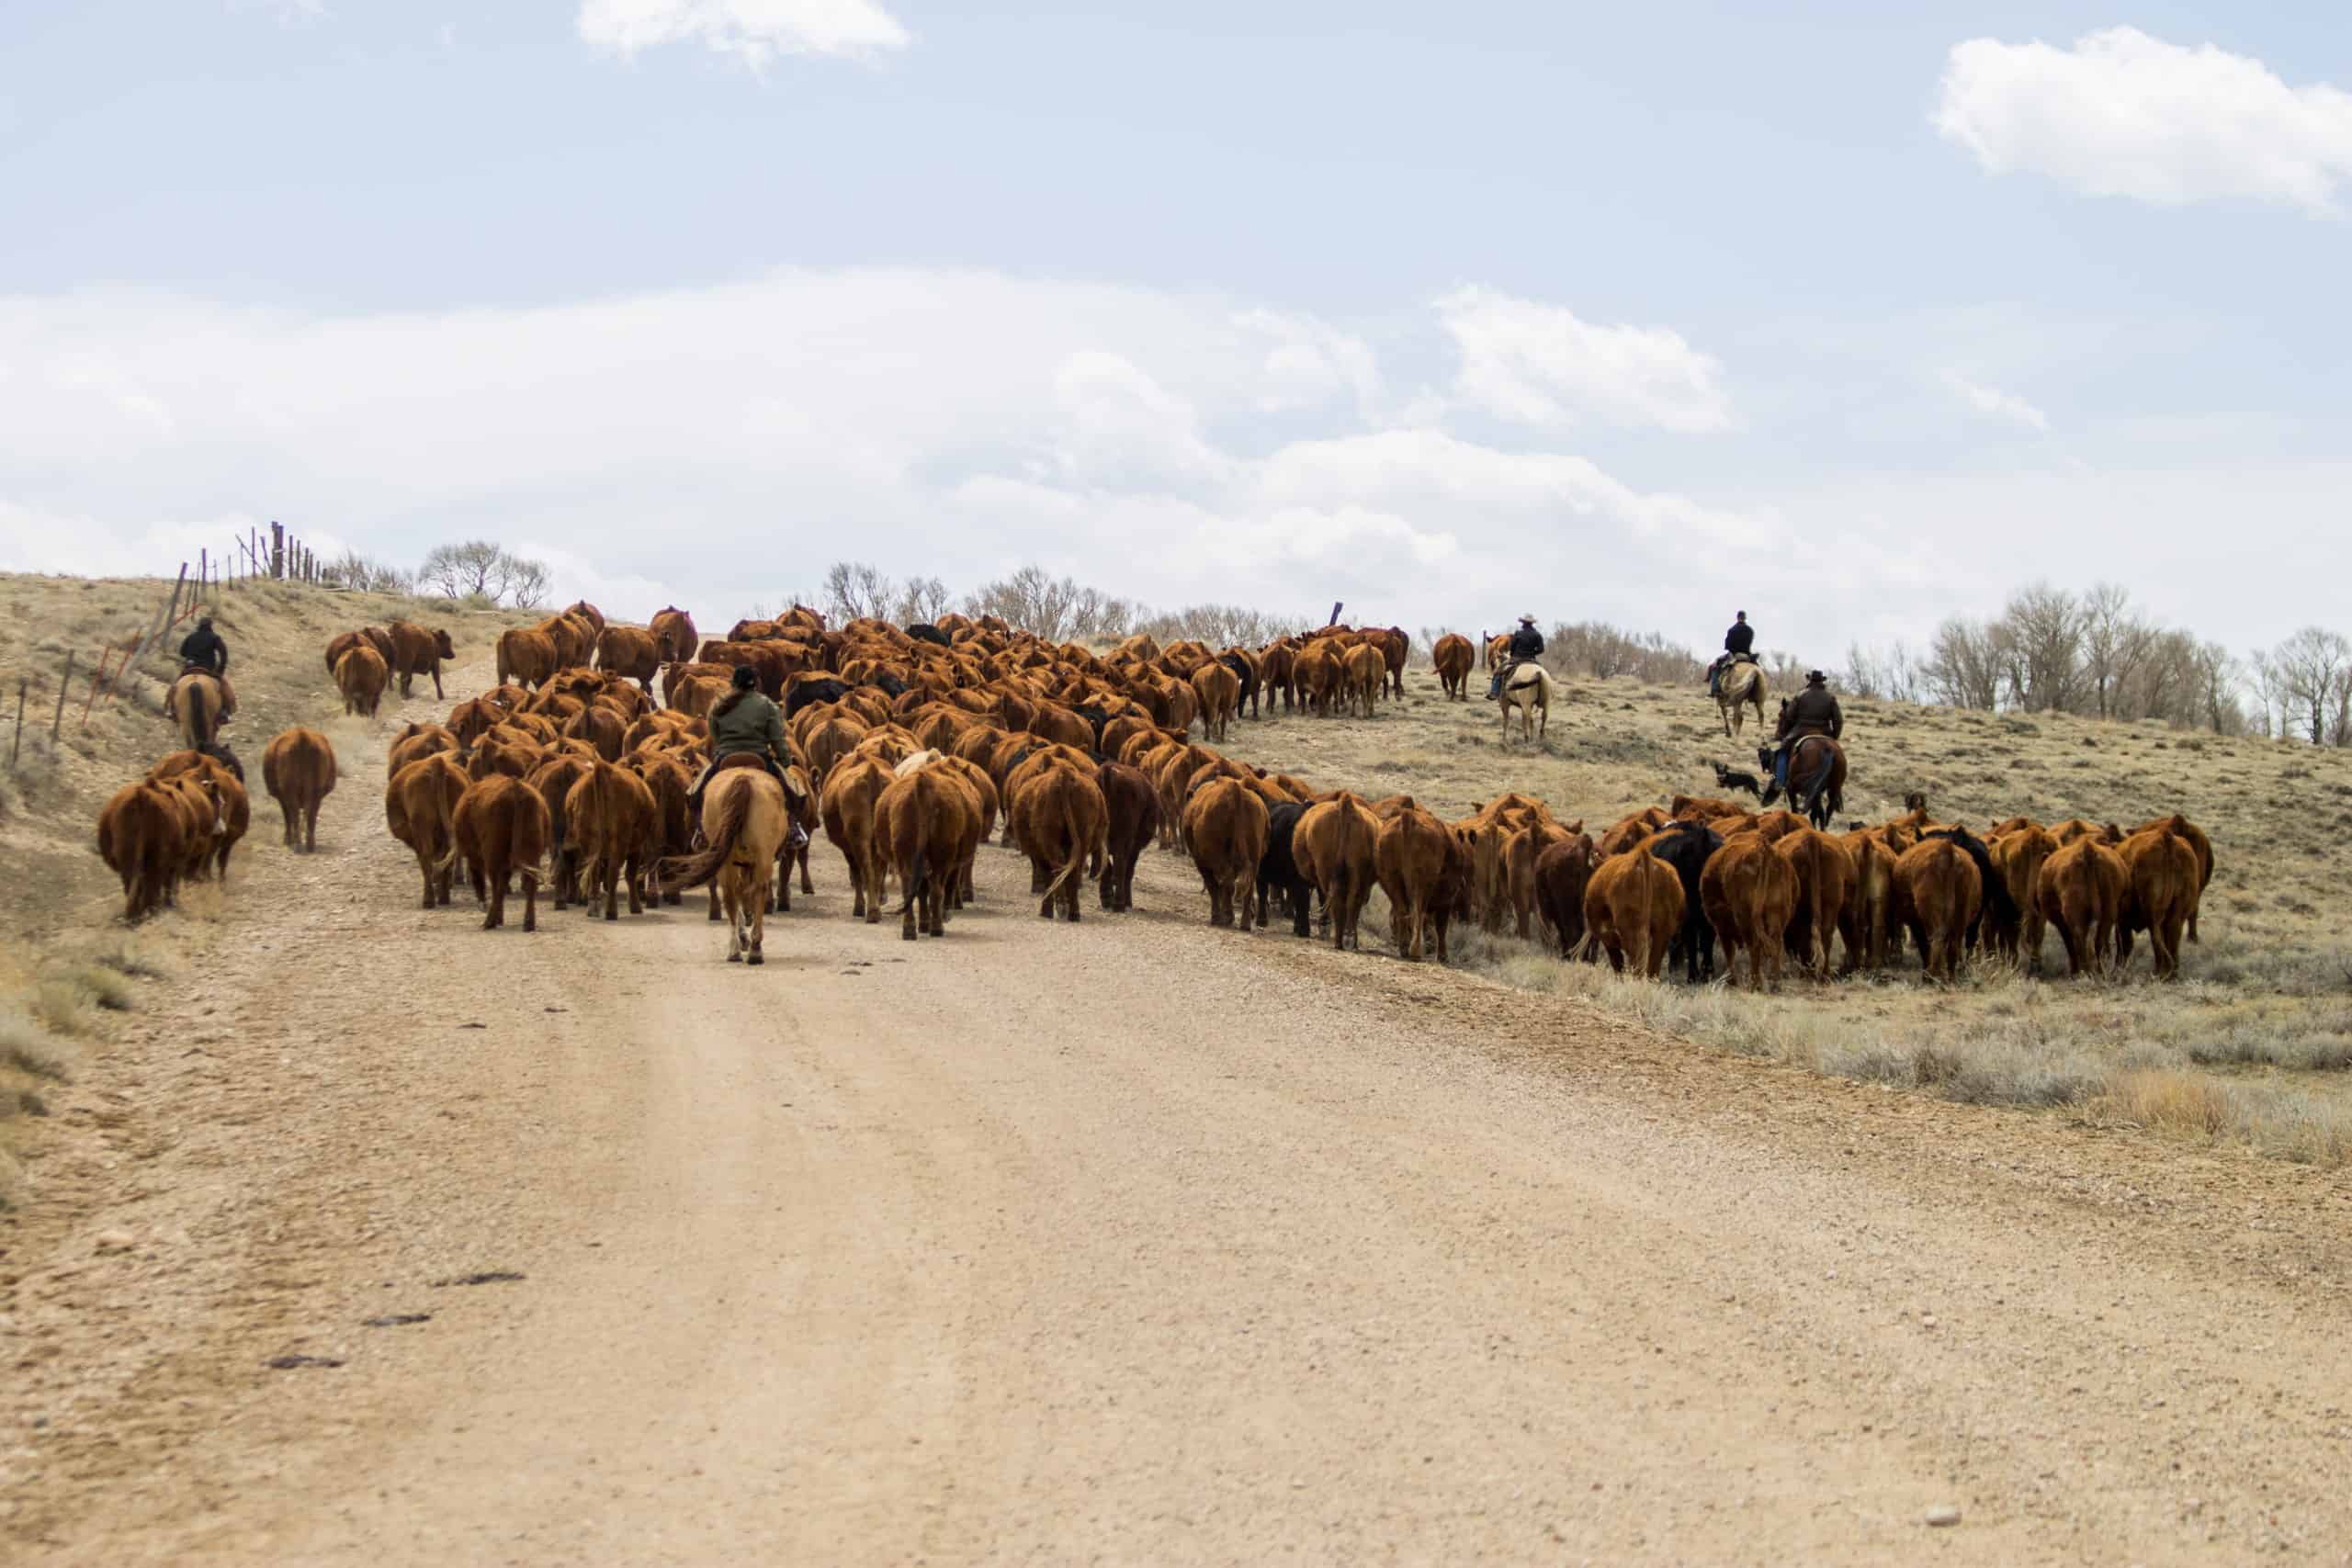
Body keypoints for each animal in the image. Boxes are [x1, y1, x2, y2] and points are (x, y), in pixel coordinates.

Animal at [261, 727, 337, 853]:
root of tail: (301, 736)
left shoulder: (282, 797)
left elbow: (287, 816)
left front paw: (287, 840)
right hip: (316, 791)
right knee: (310, 813)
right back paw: (309, 844)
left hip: (290, 789)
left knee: (295, 813)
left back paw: (297, 843)